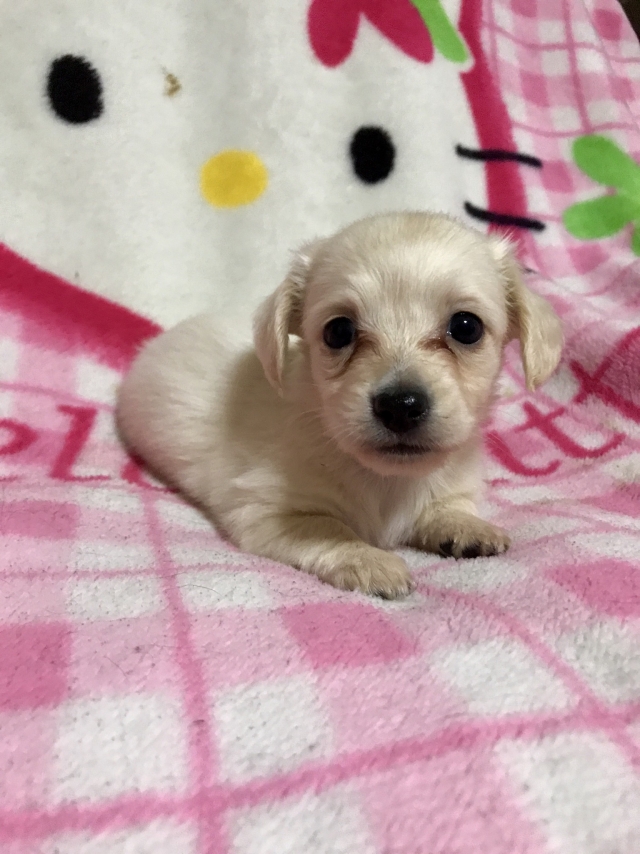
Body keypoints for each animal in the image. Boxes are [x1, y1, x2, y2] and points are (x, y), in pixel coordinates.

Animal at [116, 212, 562, 598]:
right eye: (339, 331)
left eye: (466, 327)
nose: (400, 405)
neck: (388, 482)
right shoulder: (266, 512)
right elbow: (330, 531)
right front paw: (370, 562)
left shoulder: (453, 483)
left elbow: (448, 506)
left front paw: (468, 528)